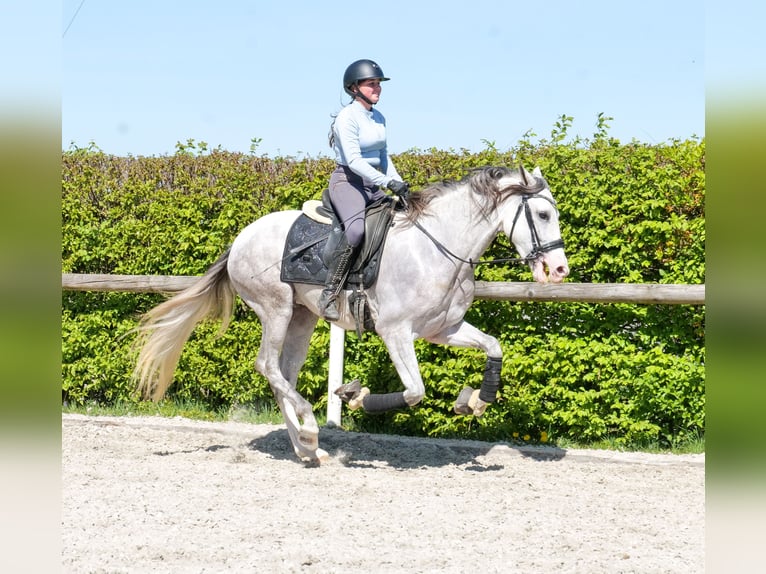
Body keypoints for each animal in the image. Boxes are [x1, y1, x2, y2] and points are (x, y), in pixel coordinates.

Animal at [133, 165, 569, 461]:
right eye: (543, 215)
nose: (559, 270)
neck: (438, 247)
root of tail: (241, 237)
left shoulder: (444, 329)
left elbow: (494, 346)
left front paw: (475, 400)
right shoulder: (396, 332)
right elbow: (415, 391)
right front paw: (355, 397)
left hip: (302, 316)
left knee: (283, 372)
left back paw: (306, 448)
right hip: (275, 308)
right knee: (268, 366)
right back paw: (310, 428)